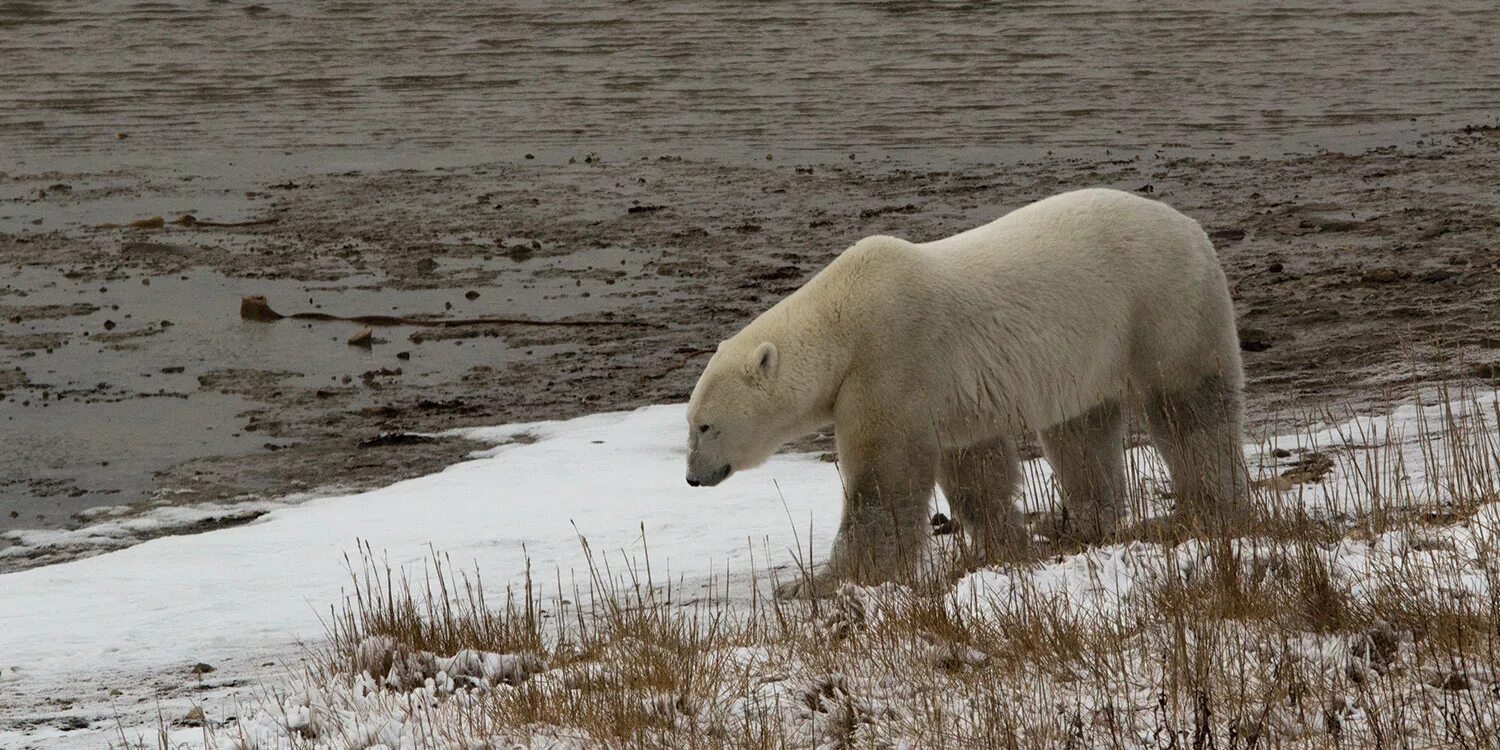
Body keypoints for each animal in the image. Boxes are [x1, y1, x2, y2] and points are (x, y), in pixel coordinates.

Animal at [687, 189, 1248, 597]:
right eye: (689, 424)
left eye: (704, 425)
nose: (692, 477)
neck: (840, 320)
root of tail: (1194, 229)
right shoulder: (950, 392)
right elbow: (976, 468)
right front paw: (1008, 544)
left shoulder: (891, 359)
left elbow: (883, 476)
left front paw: (820, 583)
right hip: (1093, 349)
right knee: (1081, 430)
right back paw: (1073, 524)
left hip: (1161, 304)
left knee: (1190, 409)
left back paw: (1207, 505)